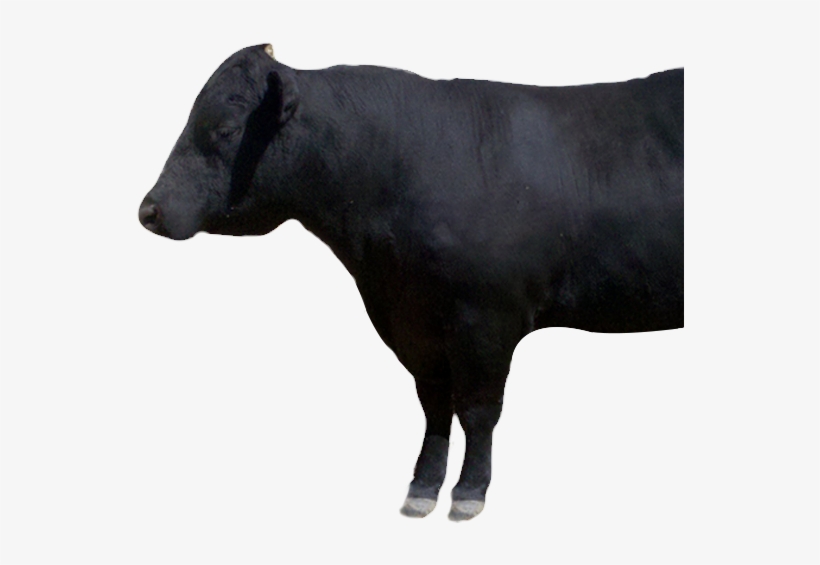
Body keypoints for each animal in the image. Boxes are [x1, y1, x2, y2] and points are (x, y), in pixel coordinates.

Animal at [138, 44, 684, 521]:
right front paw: (423, 488)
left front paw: (469, 492)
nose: (149, 210)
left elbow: (478, 408)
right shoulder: (409, 317)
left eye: (226, 129)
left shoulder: (487, 316)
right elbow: (435, 403)